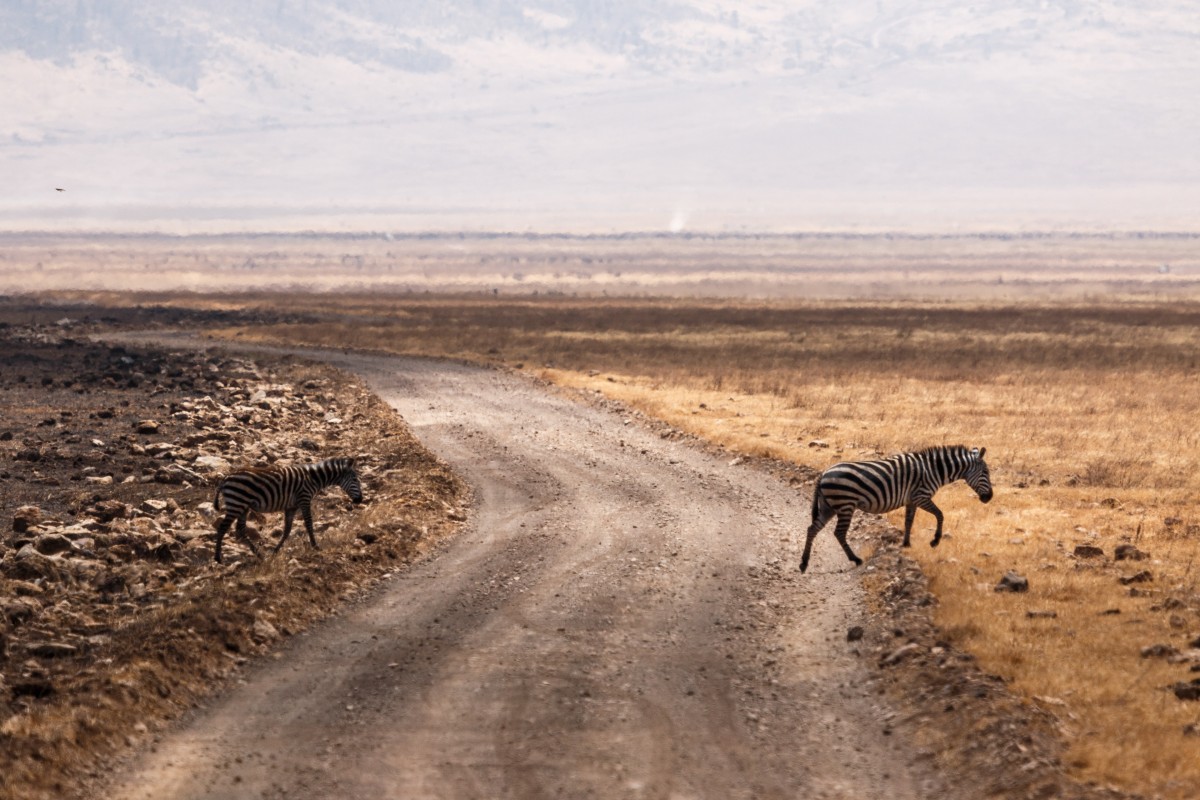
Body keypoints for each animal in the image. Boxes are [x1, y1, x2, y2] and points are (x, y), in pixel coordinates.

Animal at [211, 455, 362, 563]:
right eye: (355, 480)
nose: (360, 500)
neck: (313, 478)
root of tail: (226, 478)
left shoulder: (291, 506)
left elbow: (287, 529)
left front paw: (275, 550)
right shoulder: (304, 499)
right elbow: (309, 523)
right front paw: (315, 546)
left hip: (243, 507)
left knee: (240, 530)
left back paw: (258, 554)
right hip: (236, 504)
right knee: (223, 528)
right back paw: (218, 558)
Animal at [801, 443, 988, 575]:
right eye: (986, 473)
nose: (989, 498)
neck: (933, 470)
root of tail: (824, 473)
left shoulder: (912, 501)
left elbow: (908, 522)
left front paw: (906, 544)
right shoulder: (921, 496)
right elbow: (940, 515)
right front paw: (935, 540)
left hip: (829, 507)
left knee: (812, 529)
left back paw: (804, 563)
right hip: (845, 505)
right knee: (838, 533)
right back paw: (855, 559)